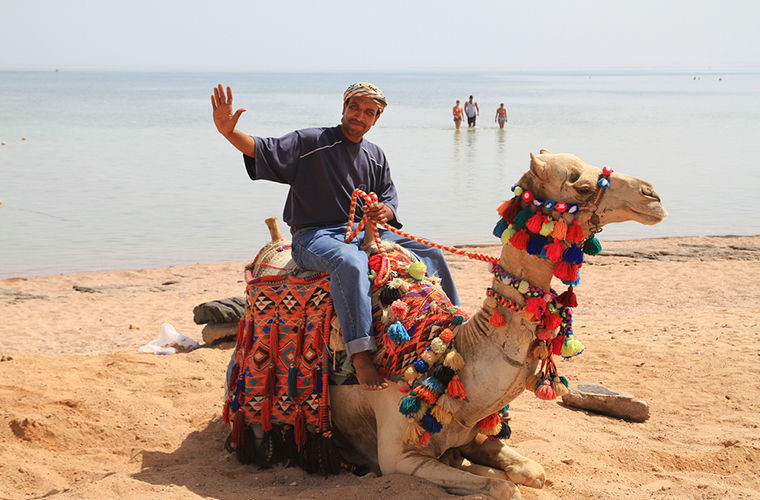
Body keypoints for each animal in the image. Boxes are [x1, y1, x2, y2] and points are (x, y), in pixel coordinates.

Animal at [232, 150, 664, 498]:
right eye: (582, 185)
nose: (653, 195)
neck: (447, 359)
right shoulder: (398, 457)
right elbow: (503, 488)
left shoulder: (471, 428)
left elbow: (533, 472)